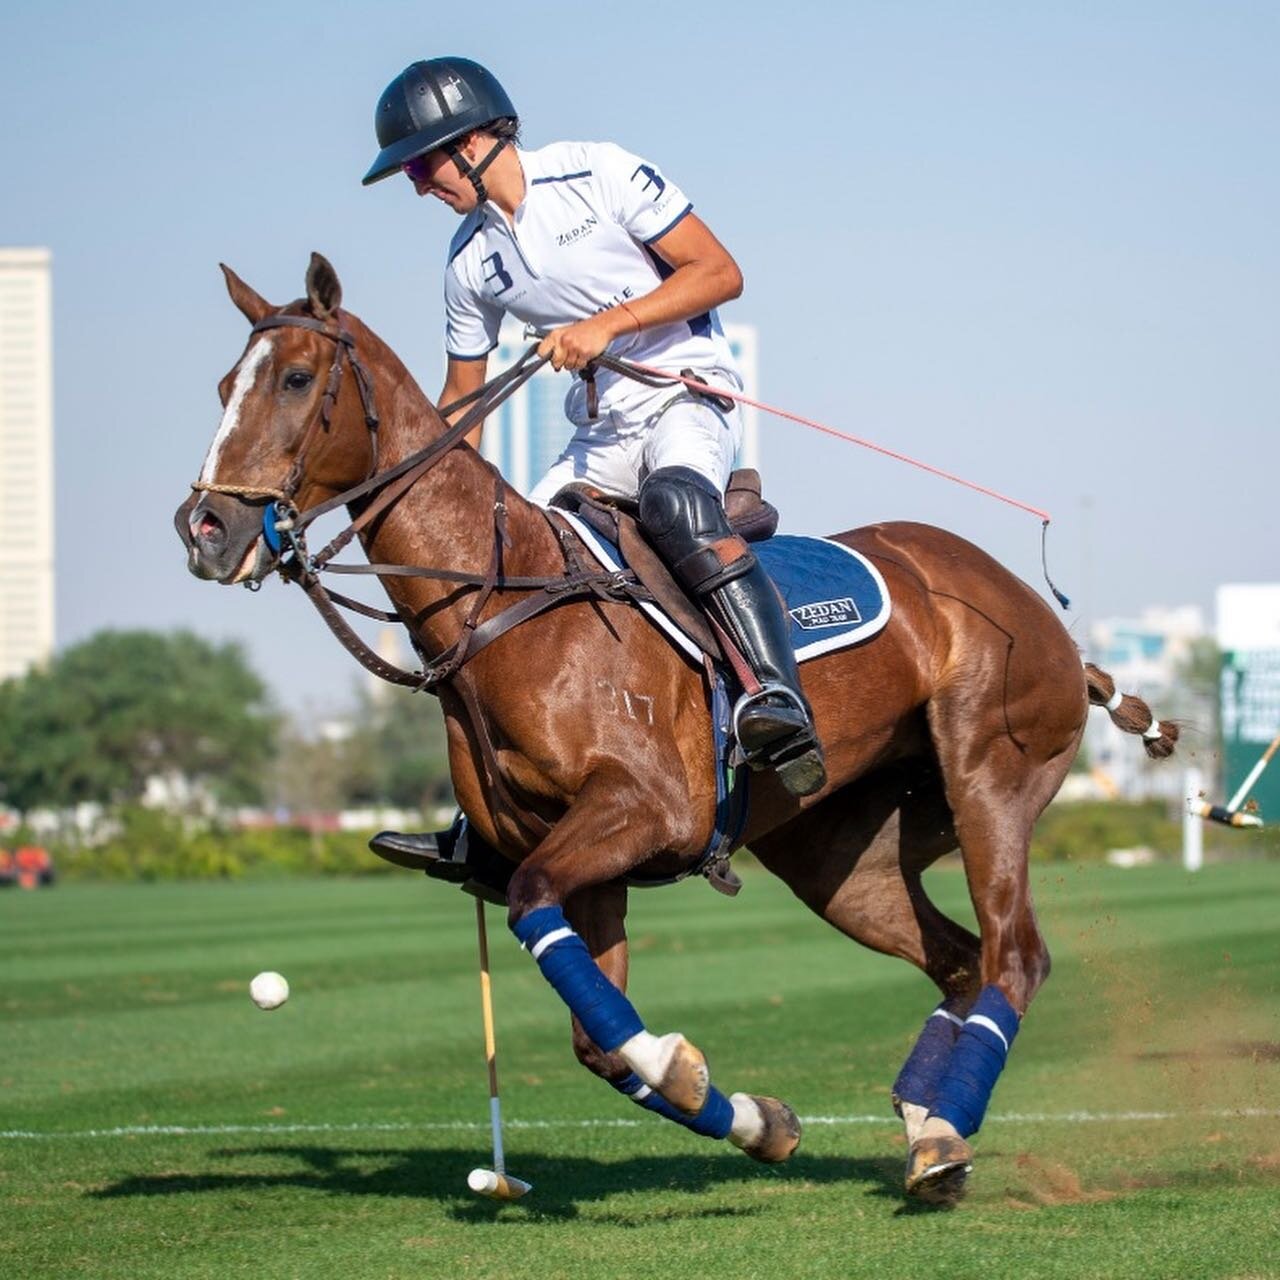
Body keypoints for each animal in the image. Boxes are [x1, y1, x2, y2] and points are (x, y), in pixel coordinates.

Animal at [175, 257, 1172, 1198]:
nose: (206, 528)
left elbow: (544, 924)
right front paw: (759, 1119)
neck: (505, 607)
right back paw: (933, 1136)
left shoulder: (643, 809)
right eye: (224, 385)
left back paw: (945, 1132)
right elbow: (592, 1032)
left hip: (989, 778)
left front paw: (679, 1064)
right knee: (960, 961)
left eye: (296, 378)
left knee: (1015, 958)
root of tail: (1044, 618)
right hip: (843, 858)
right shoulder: (586, 861)